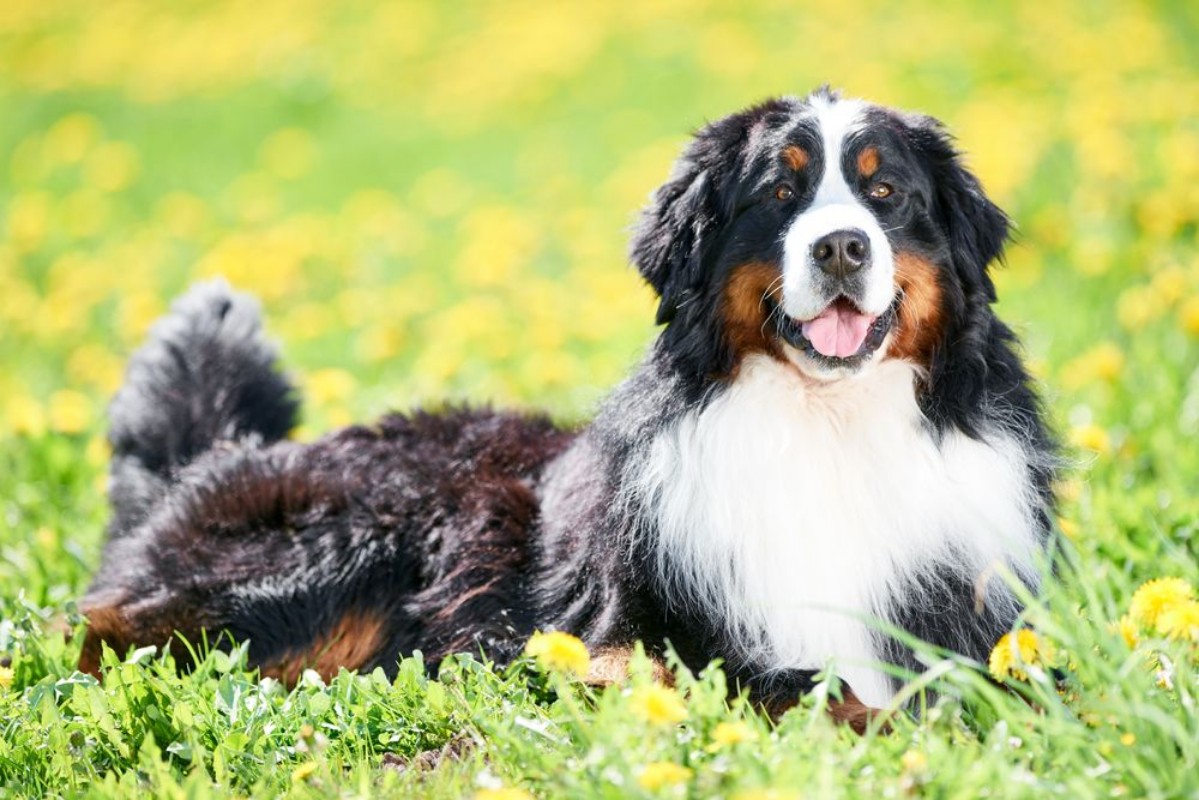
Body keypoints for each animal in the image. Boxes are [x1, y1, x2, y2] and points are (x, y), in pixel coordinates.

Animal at [79, 87, 1059, 724]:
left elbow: (1019, 684)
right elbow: (803, 683)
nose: (843, 246)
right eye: (779, 194)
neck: (826, 427)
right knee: (112, 636)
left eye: (884, 191)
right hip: (342, 542)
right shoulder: (630, 635)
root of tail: (216, 461)